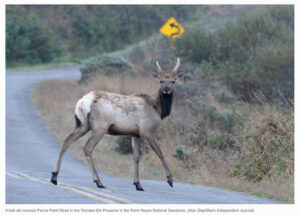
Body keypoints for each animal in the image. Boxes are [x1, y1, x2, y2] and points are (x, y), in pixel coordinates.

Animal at [50, 58, 184, 191]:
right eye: (161, 81)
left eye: (173, 81)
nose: (166, 90)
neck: (159, 109)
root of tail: (82, 102)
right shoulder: (147, 130)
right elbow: (159, 152)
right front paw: (170, 179)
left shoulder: (135, 133)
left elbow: (136, 156)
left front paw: (138, 184)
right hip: (100, 127)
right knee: (87, 147)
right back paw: (98, 181)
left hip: (82, 124)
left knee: (66, 141)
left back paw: (54, 177)